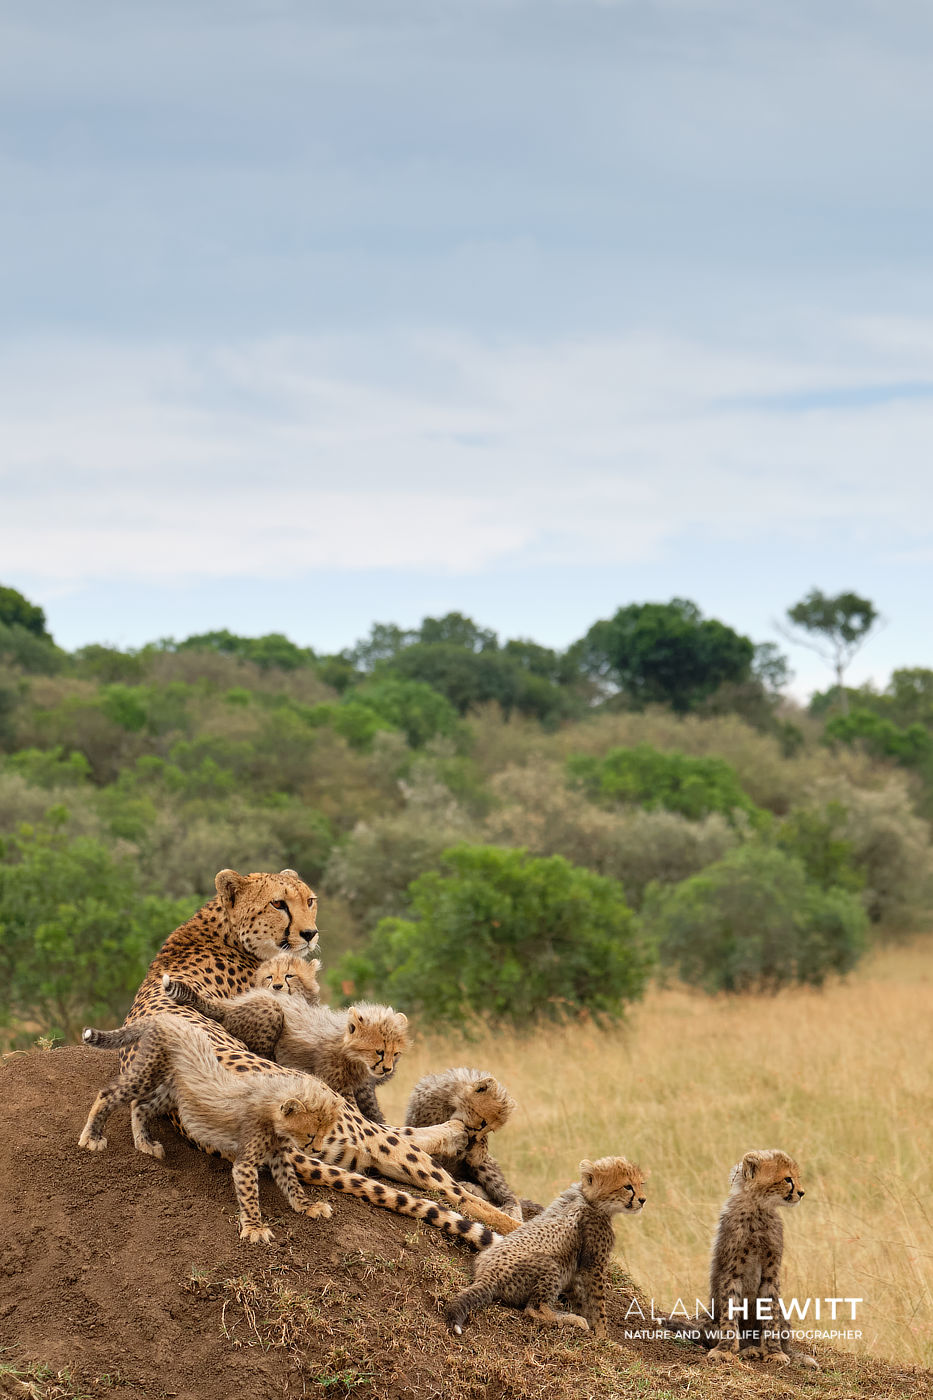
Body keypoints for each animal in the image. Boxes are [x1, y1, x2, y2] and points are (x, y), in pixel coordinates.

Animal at [79, 1016, 342, 1244]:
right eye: (310, 1135)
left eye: (324, 1134)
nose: (317, 1151)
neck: (271, 1108)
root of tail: (167, 1018)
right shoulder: (245, 1163)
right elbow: (250, 1195)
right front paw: (254, 1228)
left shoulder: (277, 1154)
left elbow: (291, 1182)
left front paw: (307, 1206)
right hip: (146, 1075)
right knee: (109, 1094)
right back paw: (91, 1137)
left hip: (171, 1093)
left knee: (140, 1106)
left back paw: (144, 1143)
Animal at [404, 1067, 525, 1222]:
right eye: (483, 1123)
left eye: (491, 1129)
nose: (474, 1140)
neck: (451, 1101)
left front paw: (478, 1150)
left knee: (506, 1192)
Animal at [446, 1155, 647, 1337]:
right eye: (628, 1186)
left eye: (641, 1184)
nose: (643, 1200)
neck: (588, 1199)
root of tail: (486, 1276)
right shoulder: (595, 1263)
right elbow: (598, 1301)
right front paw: (602, 1333)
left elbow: (580, 1295)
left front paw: (588, 1318)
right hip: (550, 1265)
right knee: (534, 1310)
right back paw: (572, 1319)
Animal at [659, 1149, 818, 1369]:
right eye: (788, 1179)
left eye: (796, 1178)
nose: (802, 1192)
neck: (758, 1208)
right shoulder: (731, 1272)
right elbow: (730, 1314)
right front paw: (725, 1351)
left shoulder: (771, 1274)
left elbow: (770, 1316)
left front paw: (774, 1352)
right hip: (709, 1317)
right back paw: (748, 1350)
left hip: (784, 1315)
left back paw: (791, 1355)